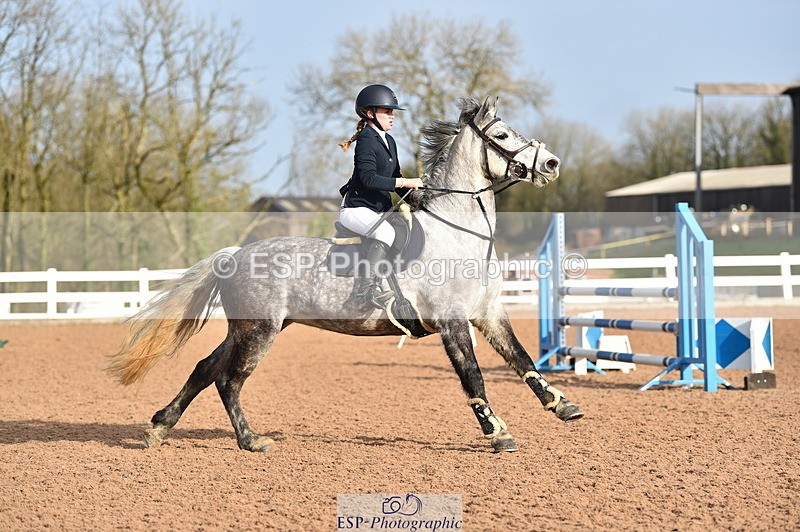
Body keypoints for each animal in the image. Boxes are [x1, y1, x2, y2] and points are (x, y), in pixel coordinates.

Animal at [107, 96, 584, 454]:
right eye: (501, 136)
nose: (553, 164)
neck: (458, 232)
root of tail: (236, 254)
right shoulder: (452, 321)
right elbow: (473, 375)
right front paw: (497, 432)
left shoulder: (487, 312)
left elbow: (522, 359)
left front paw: (562, 405)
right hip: (259, 330)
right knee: (228, 379)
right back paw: (250, 441)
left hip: (247, 328)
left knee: (205, 369)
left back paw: (159, 427)